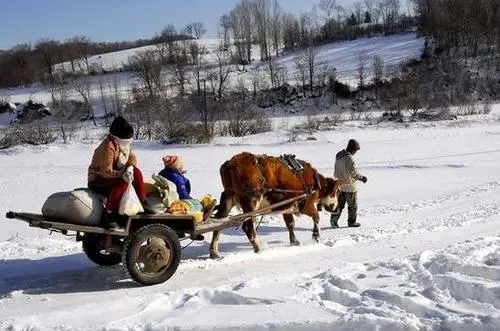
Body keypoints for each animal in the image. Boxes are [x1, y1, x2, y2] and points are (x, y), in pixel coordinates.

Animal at [209, 152, 342, 260]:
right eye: (337, 191)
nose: (336, 208)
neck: (315, 182)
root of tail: (230, 163)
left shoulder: (287, 207)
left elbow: (290, 224)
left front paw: (294, 241)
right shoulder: (306, 205)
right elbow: (316, 217)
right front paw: (316, 235)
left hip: (227, 197)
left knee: (218, 224)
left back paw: (214, 252)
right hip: (252, 200)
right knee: (248, 227)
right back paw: (258, 248)